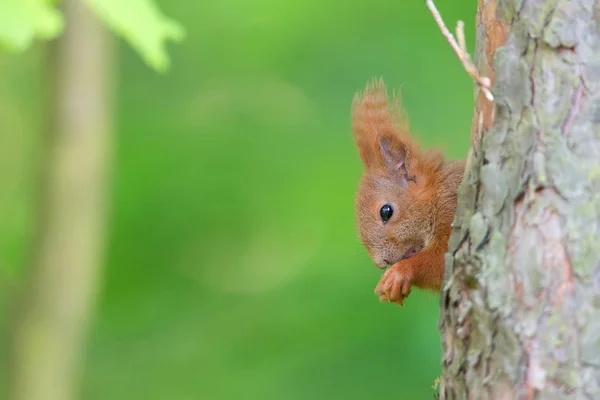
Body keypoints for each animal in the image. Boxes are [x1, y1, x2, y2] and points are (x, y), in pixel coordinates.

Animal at [350, 79, 466, 306]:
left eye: (386, 211)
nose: (383, 262)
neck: (437, 197)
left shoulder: (452, 208)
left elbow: (441, 261)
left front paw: (399, 273)